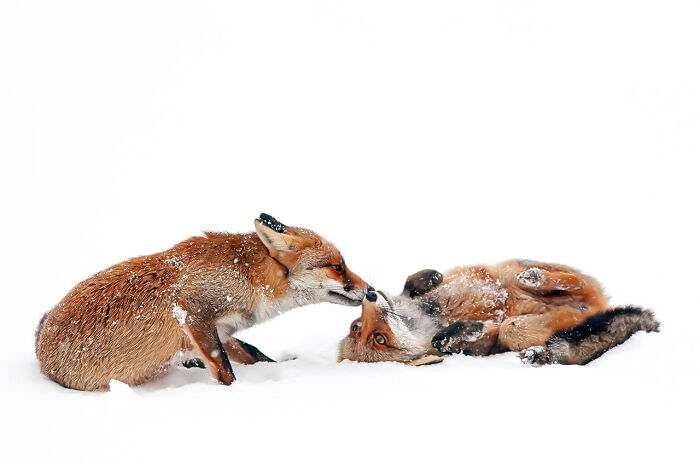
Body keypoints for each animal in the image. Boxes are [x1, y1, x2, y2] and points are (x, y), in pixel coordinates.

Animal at [36, 214, 369, 391]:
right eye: (337, 267)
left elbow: (255, 354)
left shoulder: (221, 331)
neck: (247, 276)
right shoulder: (194, 312)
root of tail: (39, 345)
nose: (371, 292)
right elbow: (225, 371)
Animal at [338, 260, 659, 366]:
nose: (369, 295)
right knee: (514, 328)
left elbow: (410, 284)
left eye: (356, 326)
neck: (427, 319)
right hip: (534, 328)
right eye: (379, 340)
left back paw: (537, 278)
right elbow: (449, 341)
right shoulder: (483, 347)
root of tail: (598, 306)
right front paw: (466, 331)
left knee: (573, 282)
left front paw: (428, 277)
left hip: (513, 269)